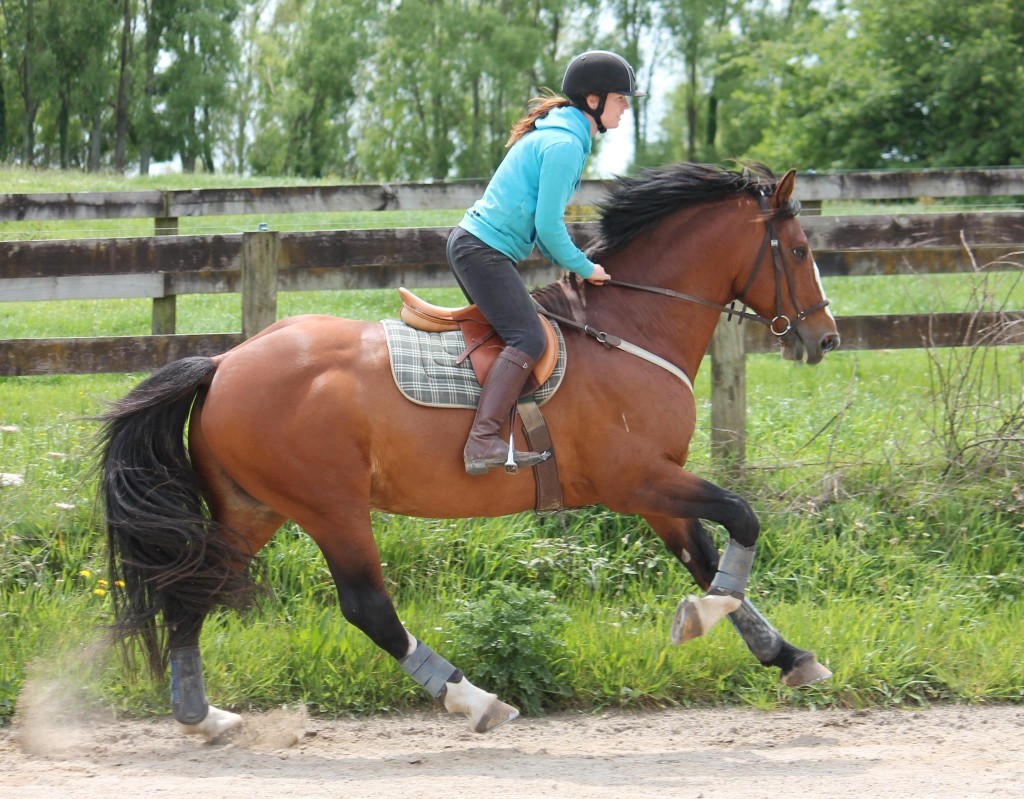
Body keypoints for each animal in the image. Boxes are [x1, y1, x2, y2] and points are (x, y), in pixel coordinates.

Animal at [99, 161, 839, 741]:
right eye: (801, 250)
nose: (826, 338)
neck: (631, 328)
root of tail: (222, 362)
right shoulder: (636, 480)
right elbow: (741, 519)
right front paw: (708, 617)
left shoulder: (657, 490)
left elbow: (708, 559)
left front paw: (786, 654)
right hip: (330, 507)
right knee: (366, 608)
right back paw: (474, 699)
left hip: (251, 509)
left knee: (193, 589)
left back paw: (202, 716)